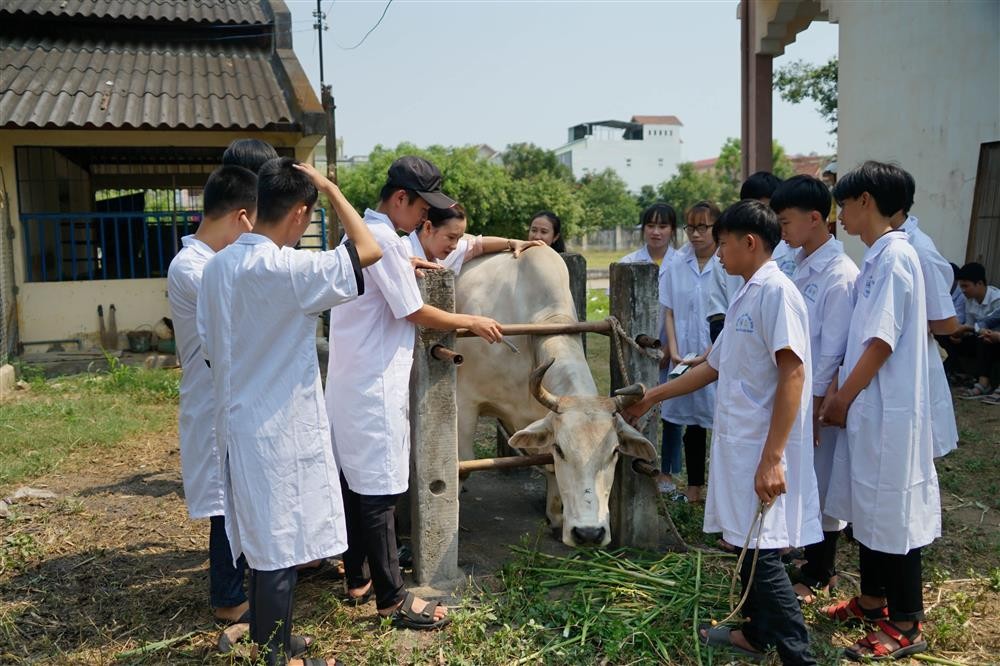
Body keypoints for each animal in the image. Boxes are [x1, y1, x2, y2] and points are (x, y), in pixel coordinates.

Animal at [454, 245, 656, 544]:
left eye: (615, 451)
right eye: (561, 449)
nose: (589, 533)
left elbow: (548, 466)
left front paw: (556, 516)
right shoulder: (466, 401)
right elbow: (463, 464)